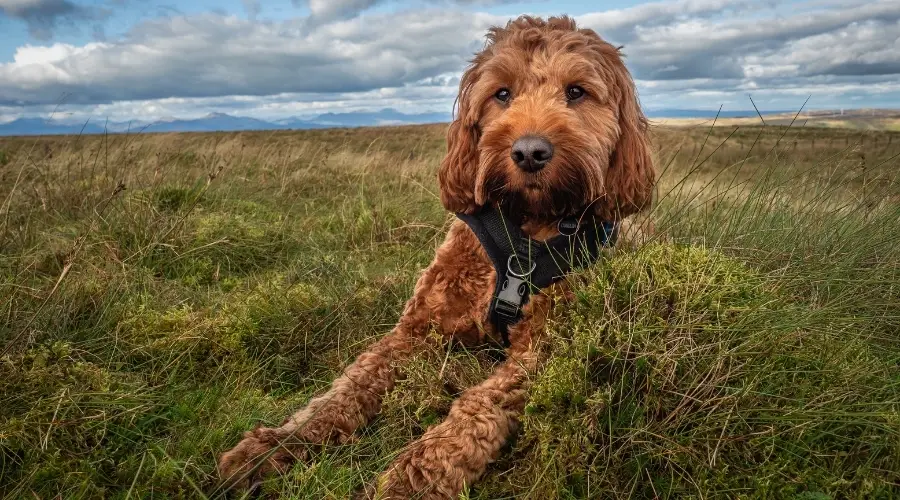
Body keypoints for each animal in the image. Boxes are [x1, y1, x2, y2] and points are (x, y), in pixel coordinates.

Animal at [218, 13, 652, 498]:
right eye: (502, 94)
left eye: (576, 91)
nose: (529, 152)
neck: (521, 232)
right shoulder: (416, 329)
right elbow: (345, 389)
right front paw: (276, 444)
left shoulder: (540, 350)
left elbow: (476, 410)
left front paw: (409, 480)